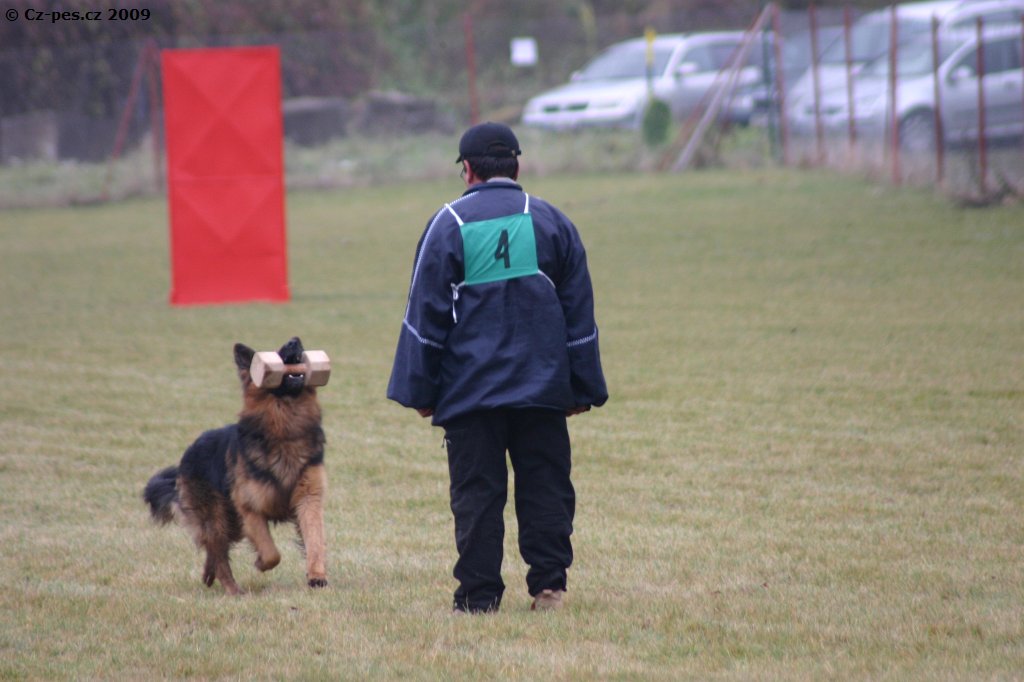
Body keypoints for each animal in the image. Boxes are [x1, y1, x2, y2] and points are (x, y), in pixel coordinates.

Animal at [143, 337, 328, 595]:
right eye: (277, 351)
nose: (295, 340)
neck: (286, 427)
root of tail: (188, 453)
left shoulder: (308, 499)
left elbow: (315, 541)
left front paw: (317, 577)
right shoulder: (250, 508)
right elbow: (271, 552)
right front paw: (261, 563)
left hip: (232, 523)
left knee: (213, 549)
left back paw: (209, 574)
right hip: (219, 518)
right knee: (218, 552)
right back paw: (233, 591)